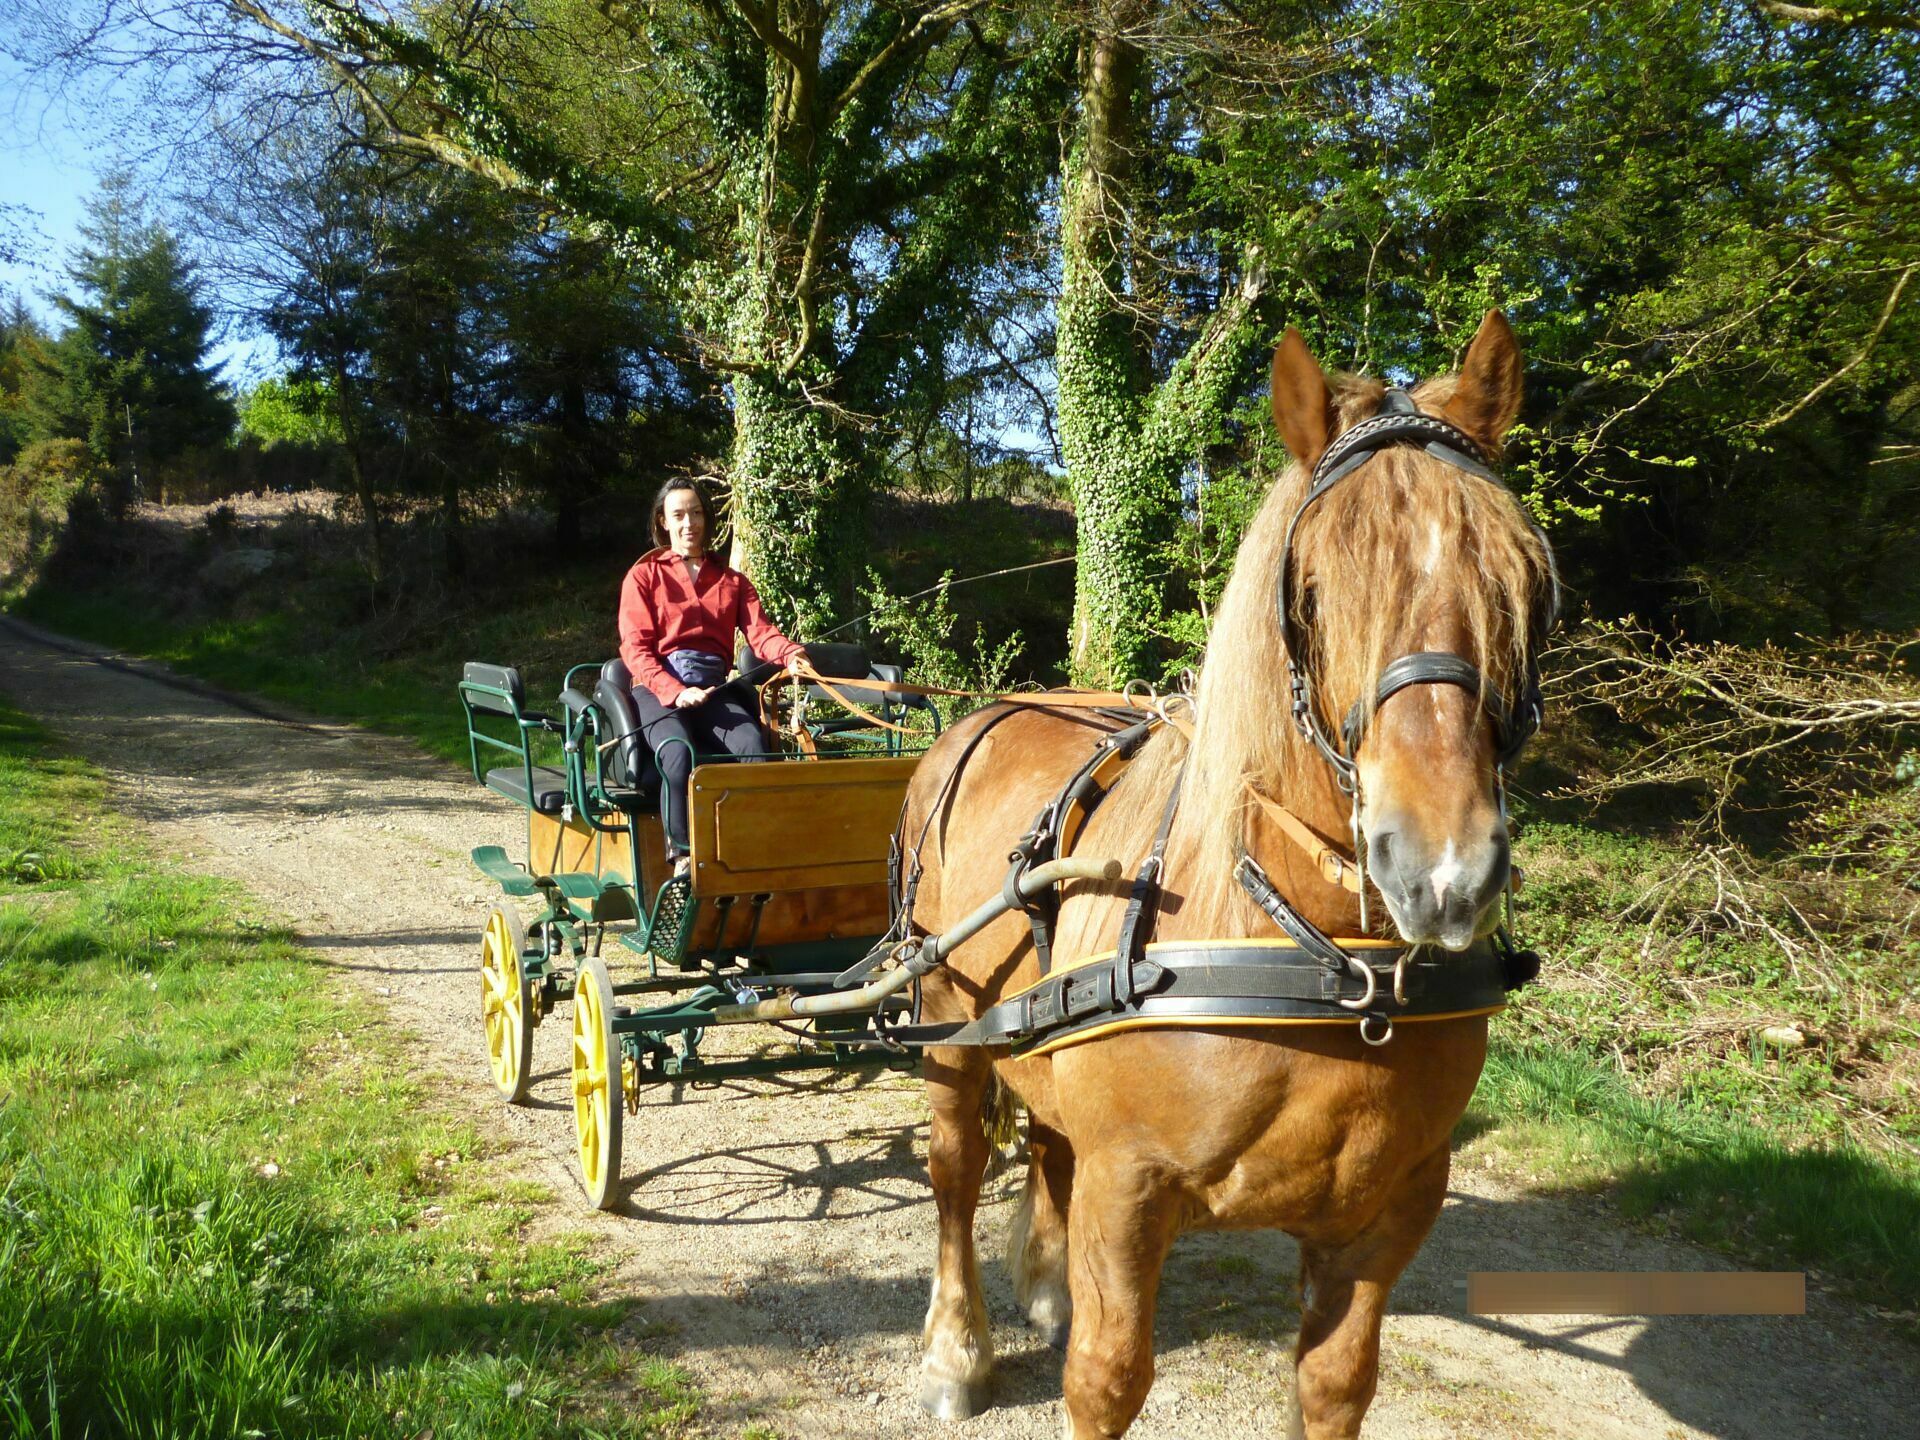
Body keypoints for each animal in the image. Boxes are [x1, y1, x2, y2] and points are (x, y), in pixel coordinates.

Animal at [898, 314, 1559, 1440]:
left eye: (1524, 585)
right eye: (1312, 595)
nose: (1443, 870)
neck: (1325, 965)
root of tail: (980, 717)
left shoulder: (1390, 1211)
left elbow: (1336, 1386)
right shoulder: (1129, 1191)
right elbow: (1107, 1379)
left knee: (1048, 1139)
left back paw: (1044, 1279)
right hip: (947, 1011)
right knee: (953, 1171)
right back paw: (956, 1348)